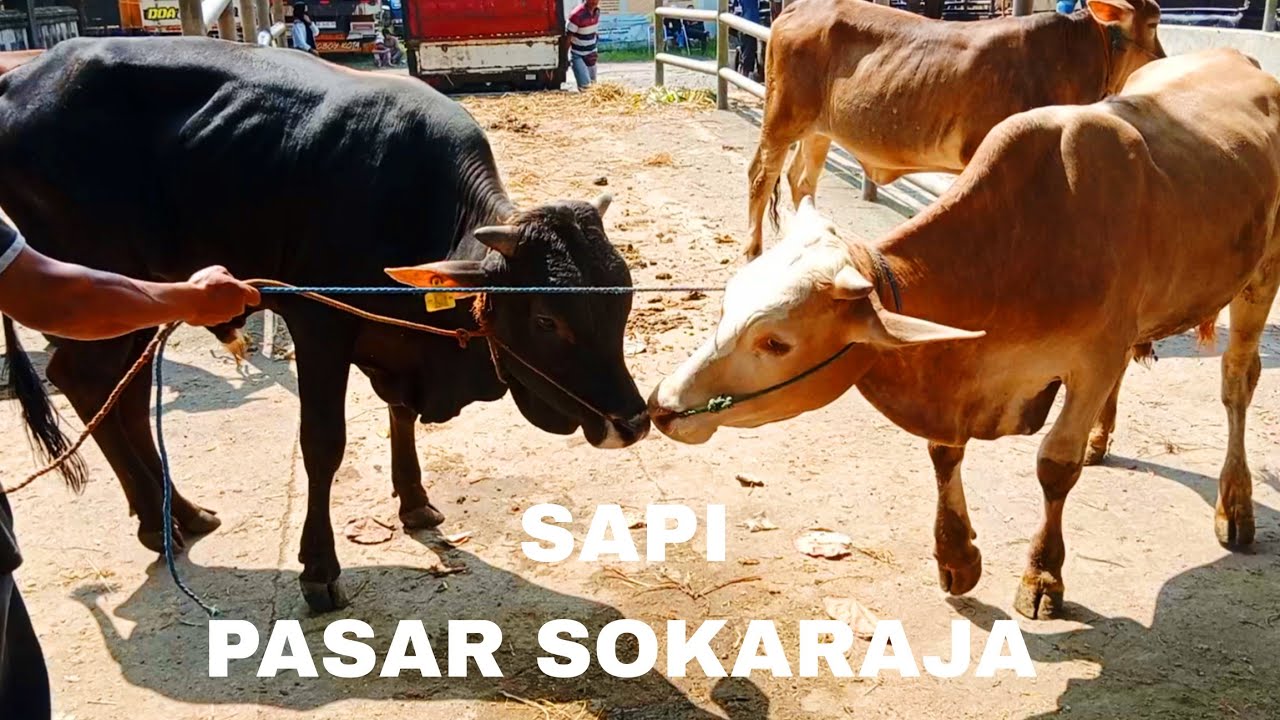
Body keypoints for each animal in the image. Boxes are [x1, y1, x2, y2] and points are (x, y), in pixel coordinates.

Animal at [0, 36, 650, 612]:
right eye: (546, 319)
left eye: (623, 302)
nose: (634, 423)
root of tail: (22, 77)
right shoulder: (320, 324)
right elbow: (322, 444)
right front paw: (319, 568)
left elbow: (400, 416)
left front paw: (415, 502)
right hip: (95, 283)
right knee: (87, 381)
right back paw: (159, 523)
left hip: (139, 296)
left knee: (124, 395)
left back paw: (177, 514)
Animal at [649, 48, 1280, 620]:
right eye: (727, 304)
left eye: (777, 342)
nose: (662, 405)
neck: (1019, 248)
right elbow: (943, 452)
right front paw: (956, 556)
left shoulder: (1093, 360)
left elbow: (1055, 466)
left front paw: (1043, 575)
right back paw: (1105, 441)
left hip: (1260, 277)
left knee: (1237, 381)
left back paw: (1236, 506)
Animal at [744, 0, 1165, 258]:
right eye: (1154, 21)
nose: (1164, 60)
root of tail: (800, 6)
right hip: (781, 118)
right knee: (760, 176)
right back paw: (753, 252)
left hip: (819, 131)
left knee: (801, 179)